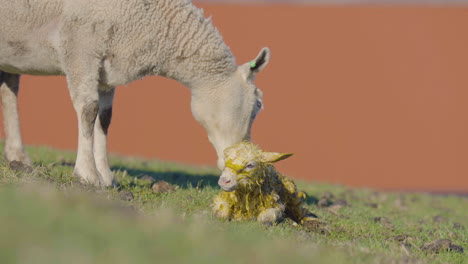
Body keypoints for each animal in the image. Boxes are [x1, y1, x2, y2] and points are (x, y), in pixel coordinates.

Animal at [0, 0, 270, 186]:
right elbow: (88, 110)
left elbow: (104, 118)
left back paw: (17, 156)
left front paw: (106, 175)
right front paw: (88, 173)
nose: (245, 164)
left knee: (9, 93)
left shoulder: (107, 68)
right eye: (258, 106)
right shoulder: (80, 48)